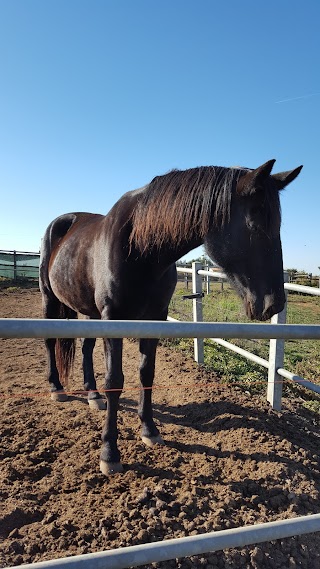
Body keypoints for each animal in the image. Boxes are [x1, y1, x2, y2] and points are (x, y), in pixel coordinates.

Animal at [39, 158, 302, 472]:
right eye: (254, 223)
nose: (274, 304)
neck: (140, 248)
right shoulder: (112, 318)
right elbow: (114, 381)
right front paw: (109, 452)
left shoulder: (154, 319)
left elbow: (146, 373)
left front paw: (149, 430)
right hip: (50, 299)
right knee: (51, 342)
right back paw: (56, 388)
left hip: (89, 313)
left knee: (86, 348)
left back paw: (92, 395)